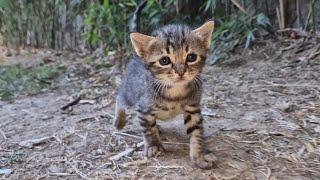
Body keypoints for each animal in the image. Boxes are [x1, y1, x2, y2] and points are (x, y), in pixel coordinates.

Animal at [114, 21, 215, 169]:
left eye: (191, 57)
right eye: (164, 61)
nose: (180, 72)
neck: (175, 91)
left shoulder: (193, 108)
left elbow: (196, 132)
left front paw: (199, 155)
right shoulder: (143, 108)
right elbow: (148, 129)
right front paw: (153, 145)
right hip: (130, 92)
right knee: (120, 97)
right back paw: (119, 120)